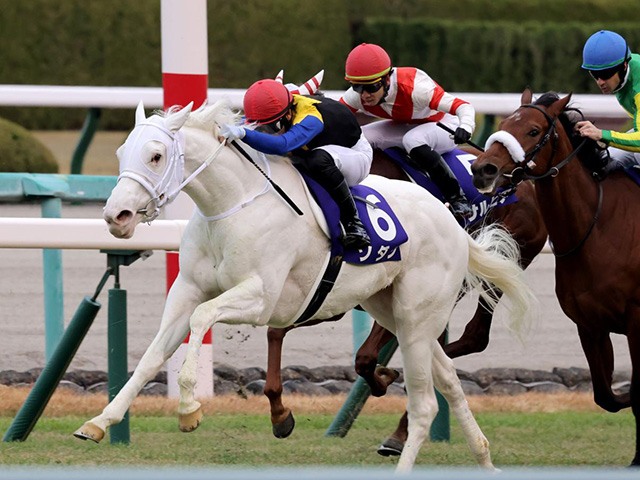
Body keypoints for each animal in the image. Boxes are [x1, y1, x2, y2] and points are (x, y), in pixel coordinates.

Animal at [260, 147, 544, 450]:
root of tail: (526, 185)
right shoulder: (328, 295)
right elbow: (276, 331)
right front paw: (279, 412)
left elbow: (365, 357)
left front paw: (386, 377)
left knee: (473, 335)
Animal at [470, 89, 640, 464]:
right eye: (506, 122)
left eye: (533, 131)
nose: (482, 168)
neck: (598, 228)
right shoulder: (589, 324)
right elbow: (606, 396)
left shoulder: (637, 321)